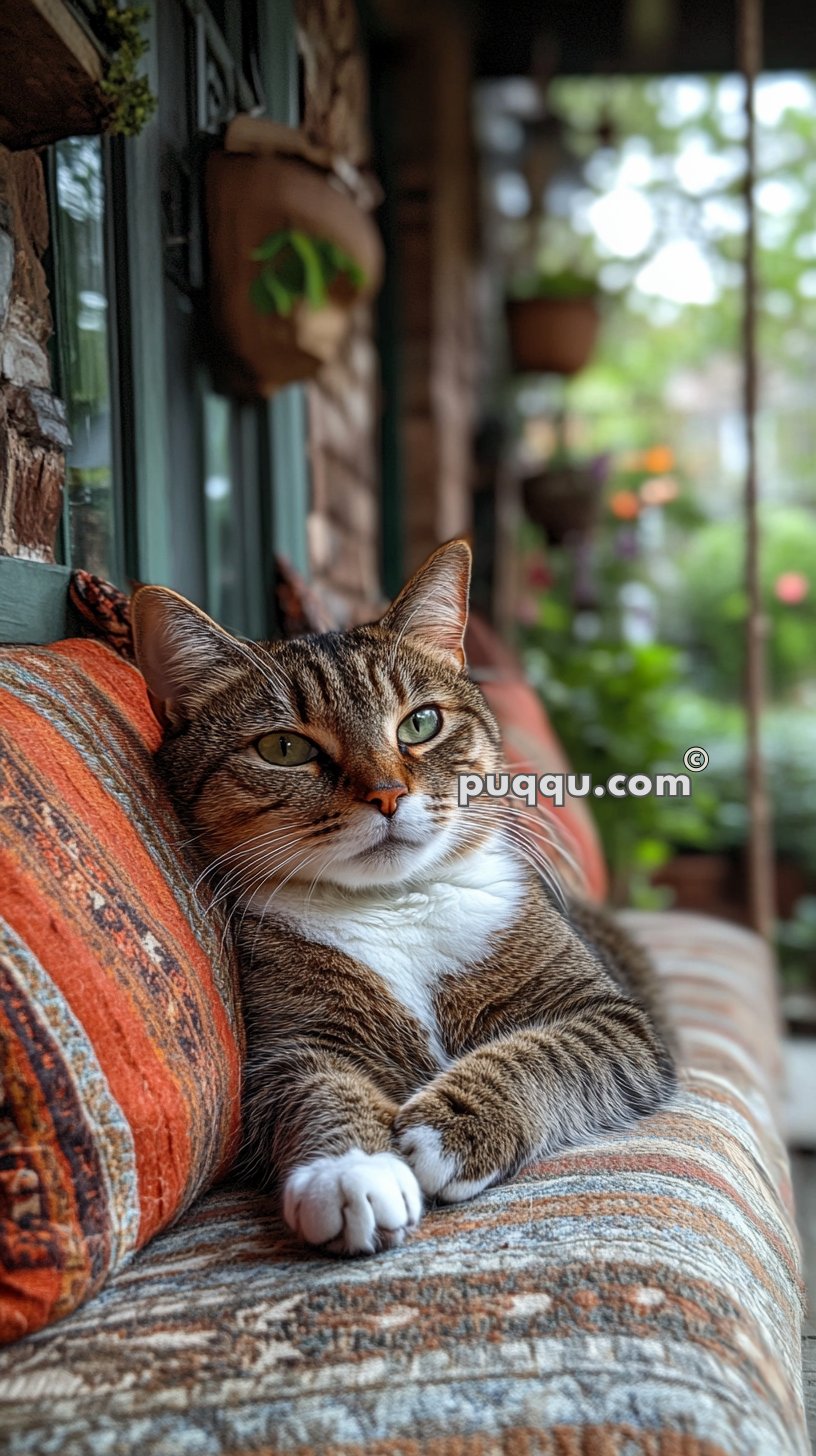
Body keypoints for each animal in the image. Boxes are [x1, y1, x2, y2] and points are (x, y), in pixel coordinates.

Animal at [134, 541, 679, 1257]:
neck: (396, 902)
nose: (388, 794)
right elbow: (318, 1086)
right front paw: (352, 1173)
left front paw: (448, 1131)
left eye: (420, 723)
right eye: (285, 747)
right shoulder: (291, 1041)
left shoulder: (614, 1018)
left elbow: (549, 1052)